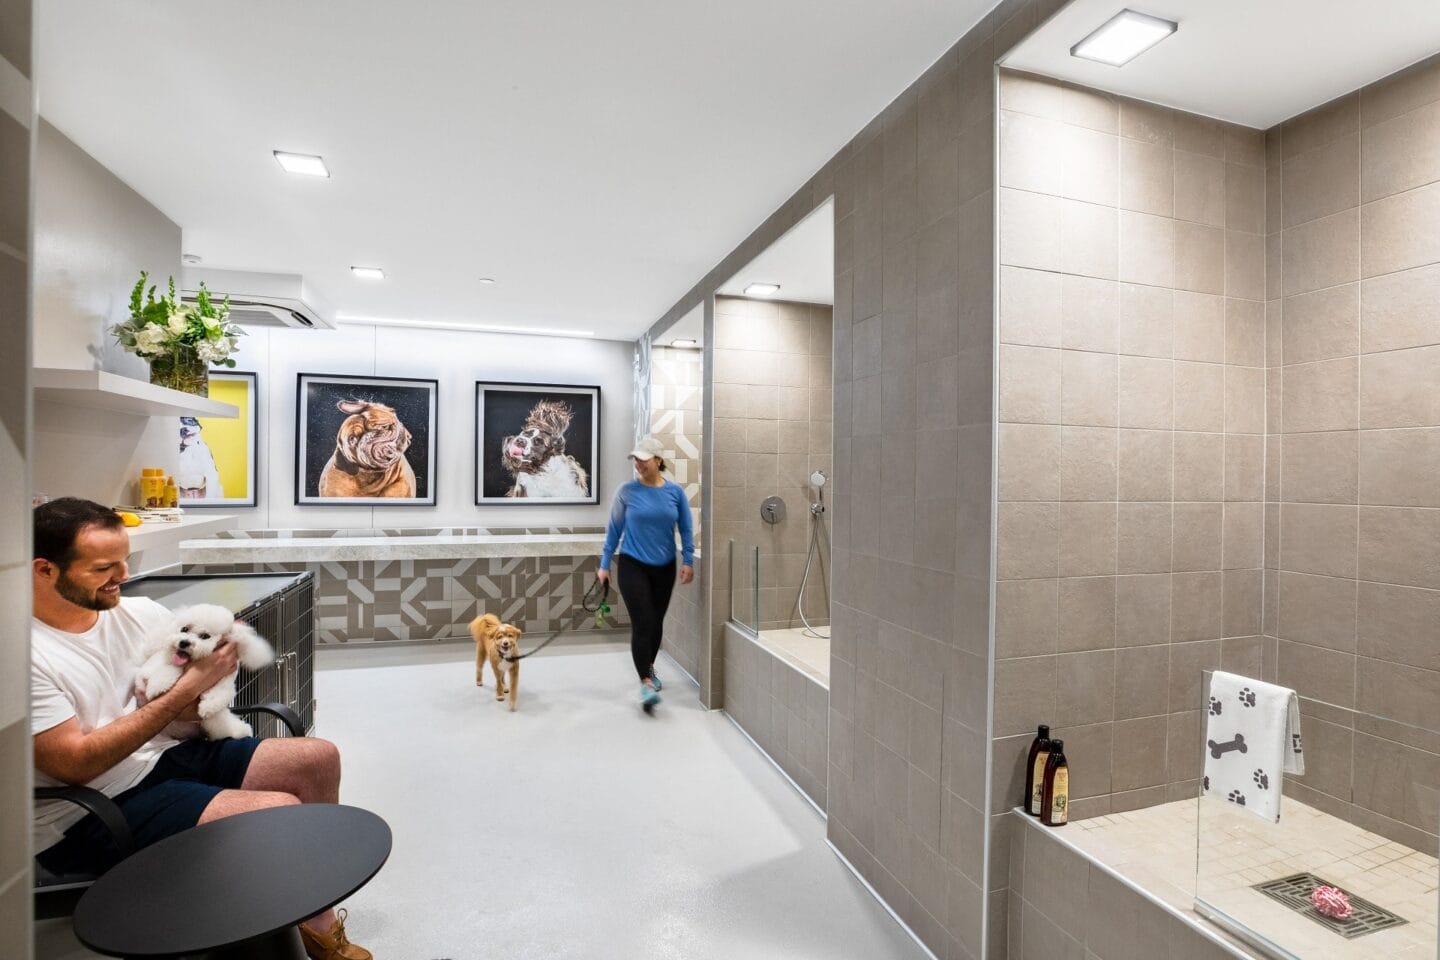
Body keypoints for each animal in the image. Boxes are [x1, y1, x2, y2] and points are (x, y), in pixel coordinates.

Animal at [138, 604, 276, 742]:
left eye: (205, 636)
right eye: (184, 629)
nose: (184, 642)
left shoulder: (226, 680)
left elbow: (220, 693)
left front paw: (207, 706)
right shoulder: (148, 670)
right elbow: (170, 668)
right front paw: (158, 686)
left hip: (213, 722)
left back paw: (242, 730)